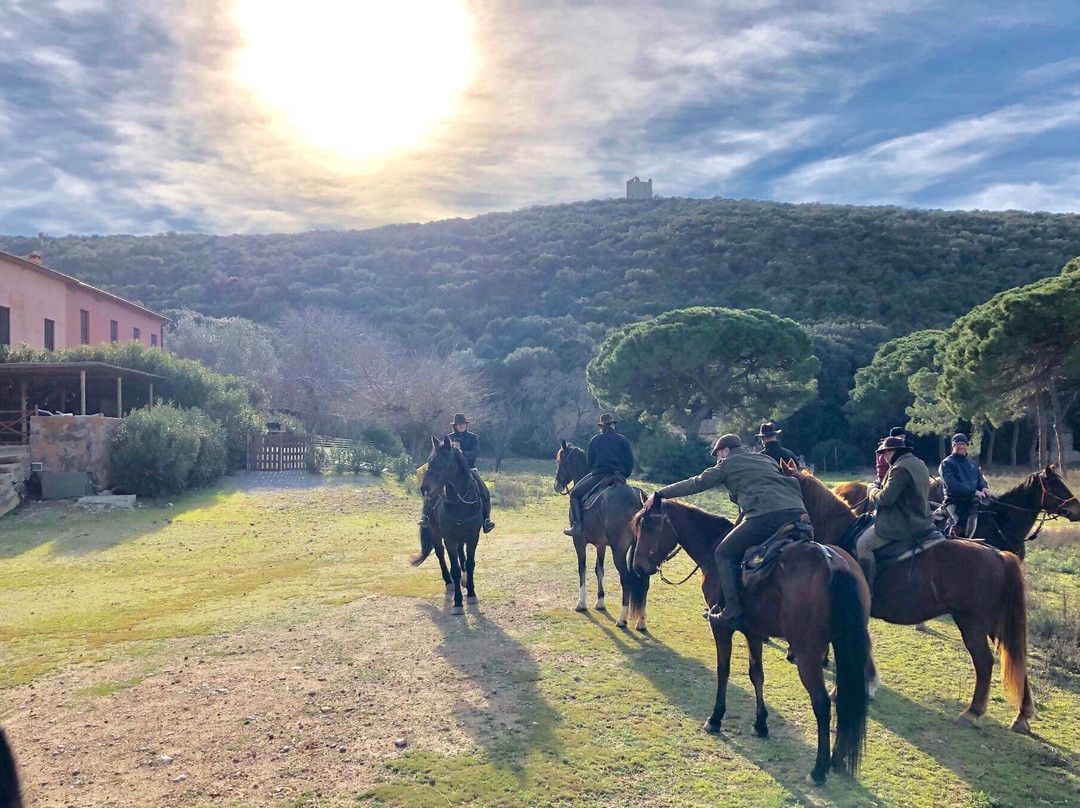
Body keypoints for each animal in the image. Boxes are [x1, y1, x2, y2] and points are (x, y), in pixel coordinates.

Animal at [410, 436, 483, 613]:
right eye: (430, 461)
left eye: (442, 462)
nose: (424, 488)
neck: (460, 503)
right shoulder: (449, 538)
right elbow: (454, 568)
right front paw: (457, 603)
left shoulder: (473, 537)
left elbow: (470, 563)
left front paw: (471, 593)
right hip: (436, 535)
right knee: (440, 555)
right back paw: (449, 582)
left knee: (461, 555)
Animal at [557, 438, 648, 626]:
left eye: (560, 461)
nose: (556, 484)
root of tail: (638, 499)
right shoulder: (601, 545)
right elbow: (599, 569)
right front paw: (600, 601)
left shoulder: (579, 541)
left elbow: (582, 569)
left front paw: (581, 602)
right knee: (643, 579)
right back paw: (641, 622)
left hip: (619, 550)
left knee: (626, 577)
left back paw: (622, 618)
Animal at [630, 494, 872, 786]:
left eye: (649, 525)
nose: (638, 567)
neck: (713, 548)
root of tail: (833, 564)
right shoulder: (754, 632)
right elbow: (756, 674)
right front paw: (760, 723)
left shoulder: (722, 629)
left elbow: (723, 670)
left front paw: (716, 718)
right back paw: (836, 759)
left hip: (808, 653)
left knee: (822, 703)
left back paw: (819, 769)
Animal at [790, 460, 1032, 730]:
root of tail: (997, 554)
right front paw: (869, 683)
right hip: (995, 625)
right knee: (1016, 659)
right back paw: (1022, 715)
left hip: (973, 626)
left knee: (985, 663)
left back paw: (973, 712)